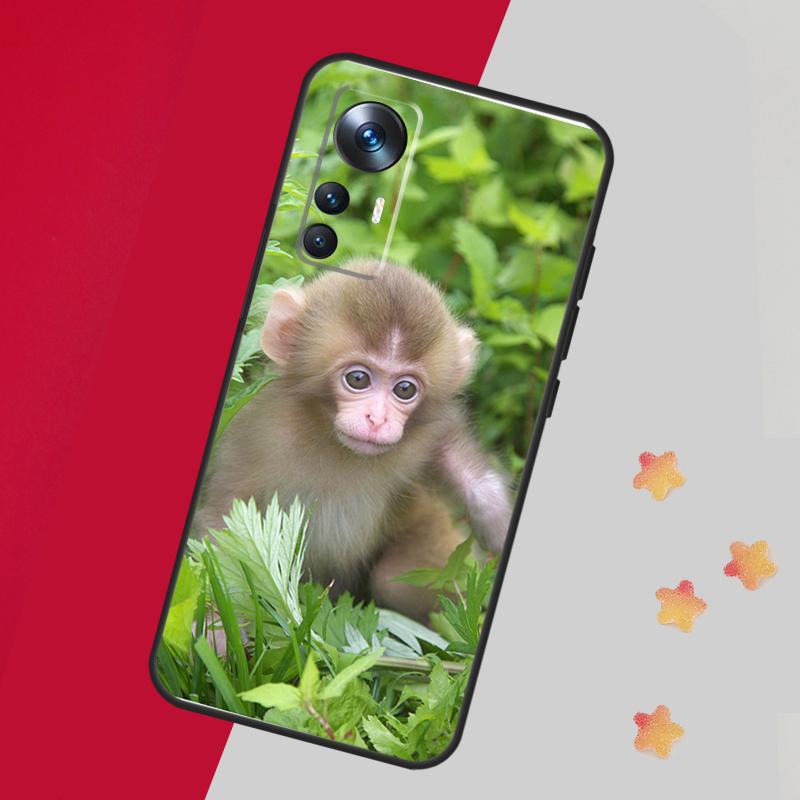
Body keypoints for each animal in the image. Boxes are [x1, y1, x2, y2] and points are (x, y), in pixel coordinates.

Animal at [193, 259, 513, 621]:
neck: (332, 439)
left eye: (405, 389)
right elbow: (225, 523)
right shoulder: (254, 433)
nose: (377, 419)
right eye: (358, 379)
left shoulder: (428, 432)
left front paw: (498, 524)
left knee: (392, 581)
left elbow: (460, 462)